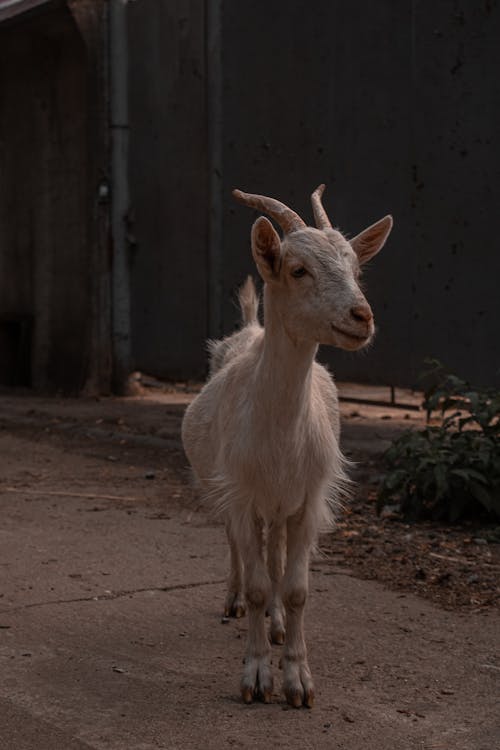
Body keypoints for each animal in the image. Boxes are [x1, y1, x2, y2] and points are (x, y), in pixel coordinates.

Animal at [182, 185, 392, 708]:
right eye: (298, 269)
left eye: (355, 268)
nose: (362, 317)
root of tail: (250, 328)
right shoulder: (240, 493)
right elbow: (259, 583)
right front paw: (257, 676)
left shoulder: (309, 499)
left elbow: (295, 587)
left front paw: (297, 678)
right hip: (231, 492)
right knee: (239, 548)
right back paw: (234, 601)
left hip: (280, 504)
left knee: (274, 552)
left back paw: (276, 626)